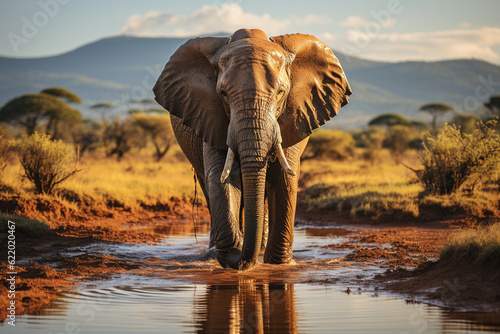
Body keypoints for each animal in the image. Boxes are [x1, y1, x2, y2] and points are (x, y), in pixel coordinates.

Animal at [152, 28, 352, 268]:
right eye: (223, 93)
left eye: (281, 92)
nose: (239, 256)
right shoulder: (210, 116)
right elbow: (221, 178)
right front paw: (234, 252)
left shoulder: (294, 116)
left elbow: (283, 179)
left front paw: (279, 265)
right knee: (208, 187)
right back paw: (217, 250)